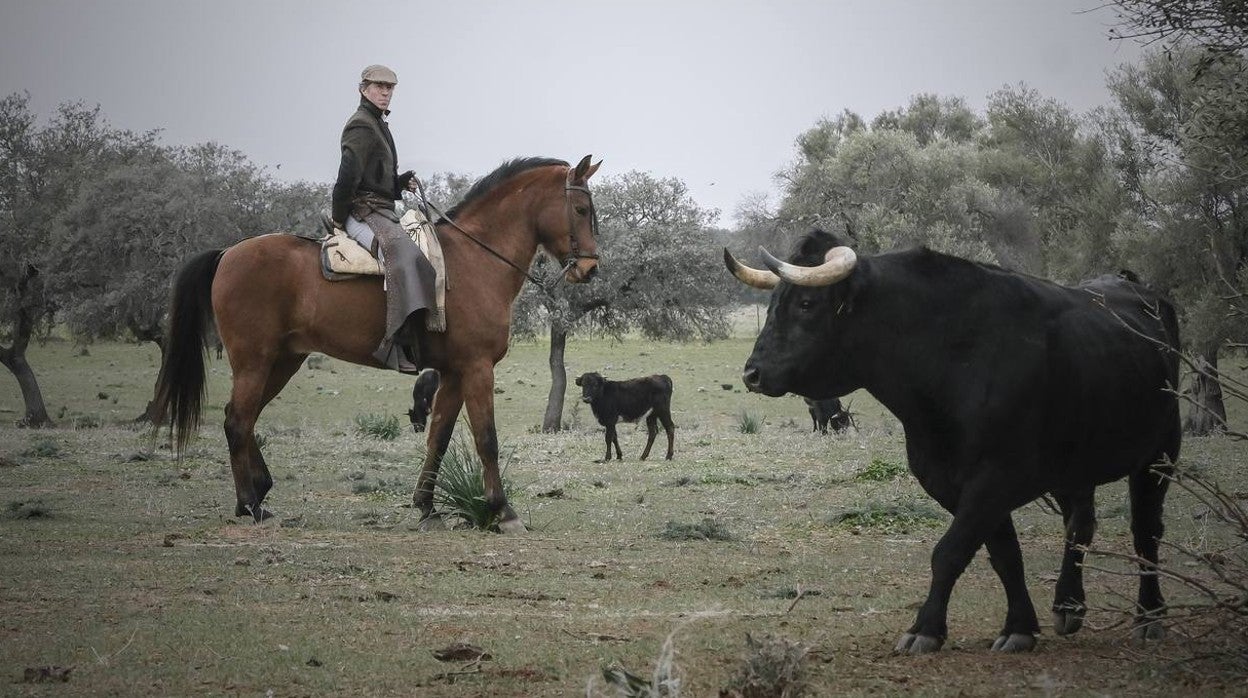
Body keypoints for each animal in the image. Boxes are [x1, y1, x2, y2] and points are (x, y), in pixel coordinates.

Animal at [153, 155, 601, 531]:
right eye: (582, 210)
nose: (591, 270)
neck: (475, 261)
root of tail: (228, 253)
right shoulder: (476, 368)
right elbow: (486, 439)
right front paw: (503, 511)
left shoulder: (454, 373)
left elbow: (438, 439)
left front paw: (426, 507)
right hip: (254, 361)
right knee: (237, 421)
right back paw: (251, 503)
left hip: (282, 362)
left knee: (245, 420)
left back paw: (258, 491)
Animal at [723, 229, 1178, 654]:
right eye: (775, 301)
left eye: (805, 304)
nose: (752, 373)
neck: (952, 362)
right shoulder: (950, 482)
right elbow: (1004, 555)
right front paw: (1019, 627)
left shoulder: (994, 479)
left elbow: (949, 552)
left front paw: (925, 628)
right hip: (1073, 467)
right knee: (1079, 526)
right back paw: (1068, 605)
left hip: (1159, 456)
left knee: (1145, 532)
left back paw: (1150, 616)